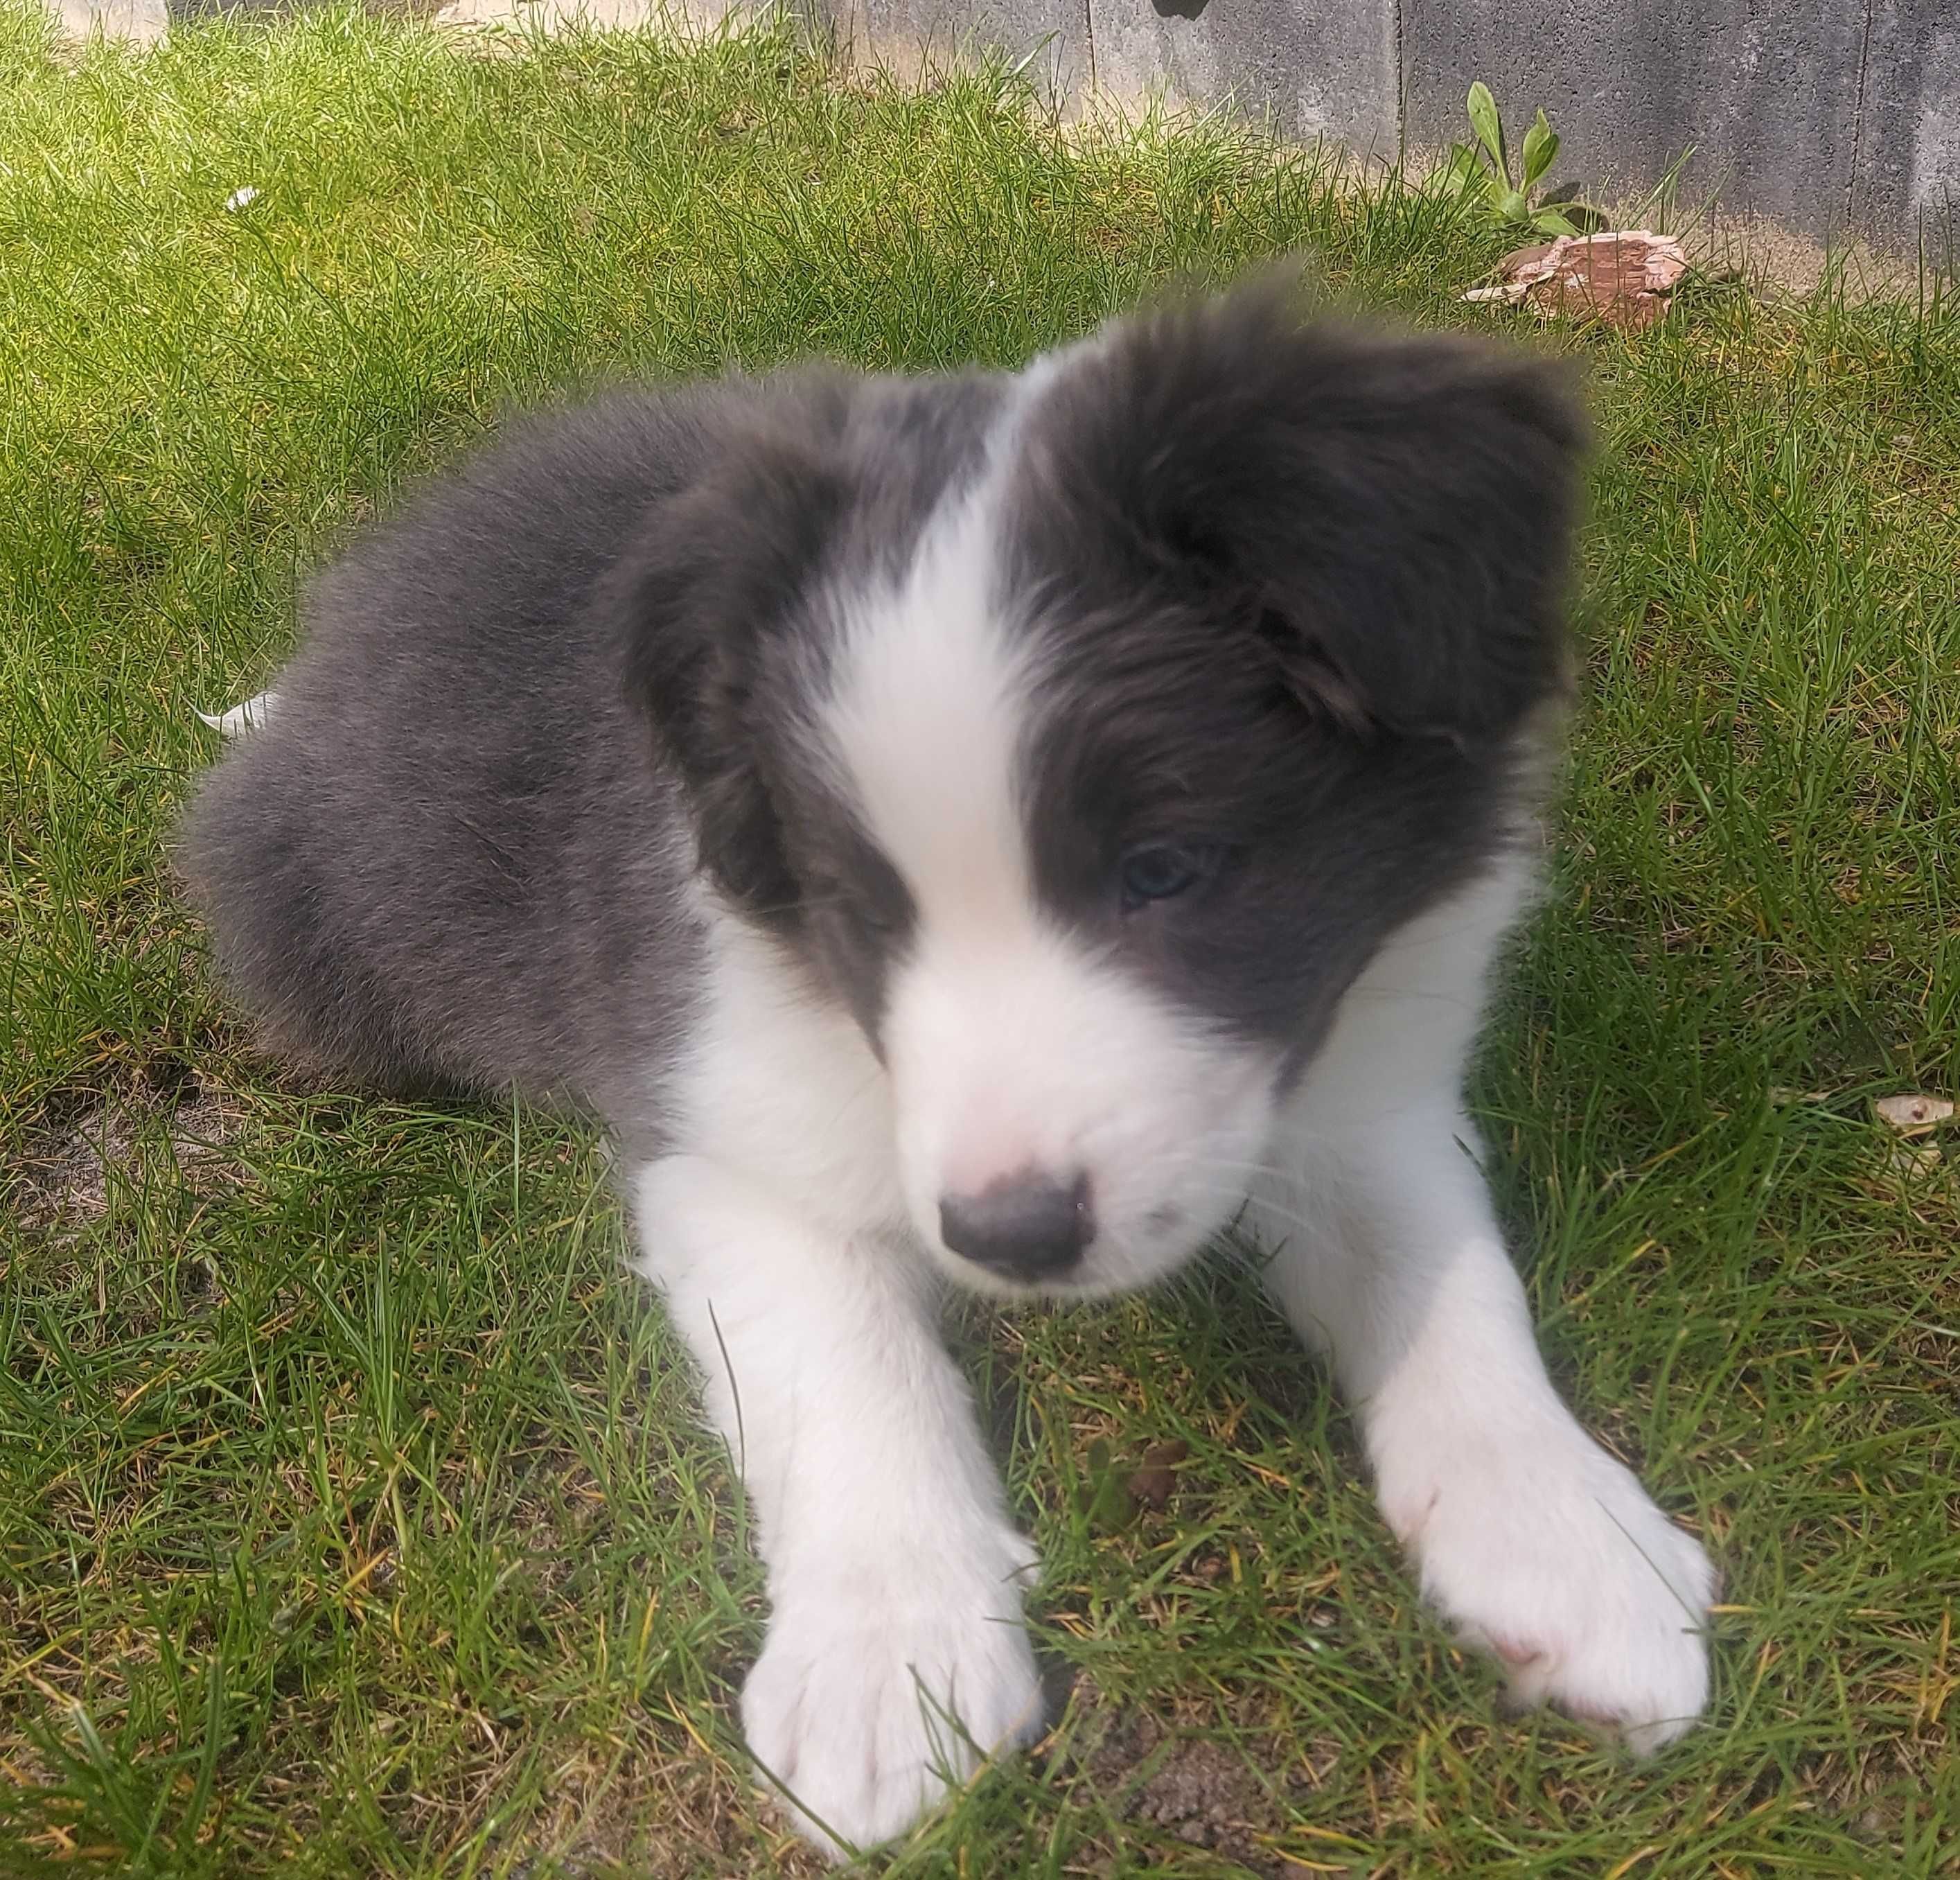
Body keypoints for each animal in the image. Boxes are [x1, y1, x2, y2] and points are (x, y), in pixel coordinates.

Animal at [184, 272, 1717, 1858]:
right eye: (862, 911)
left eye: (1162, 869)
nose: (1012, 1234)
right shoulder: (726, 1121)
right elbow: (845, 1369)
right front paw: (887, 1661)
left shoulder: (1365, 1071)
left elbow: (1449, 1279)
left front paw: (1567, 1543)